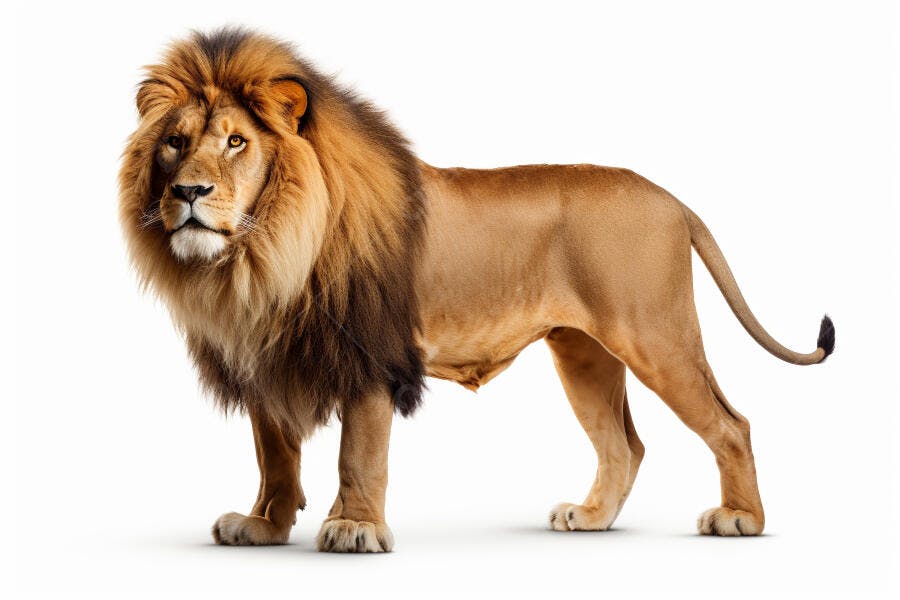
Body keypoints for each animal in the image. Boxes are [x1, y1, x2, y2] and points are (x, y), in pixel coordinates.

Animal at [119, 28, 835, 552]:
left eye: (237, 142)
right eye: (174, 143)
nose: (188, 191)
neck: (258, 259)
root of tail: (672, 199)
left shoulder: (374, 355)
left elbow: (359, 453)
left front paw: (354, 527)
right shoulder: (262, 354)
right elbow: (274, 452)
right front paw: (264, 525)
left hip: (655, 334)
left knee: (731, 424)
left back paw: (741, 519)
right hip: (583, 353)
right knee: (623, 443)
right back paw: (591, 517)